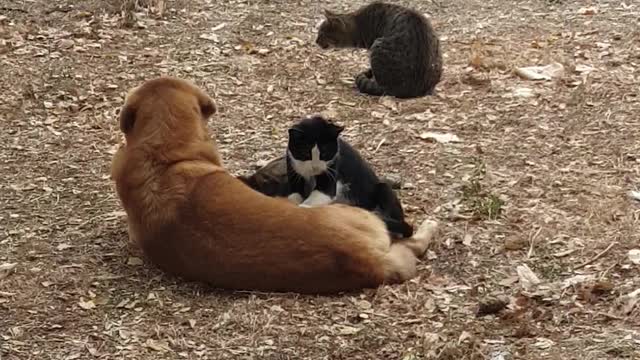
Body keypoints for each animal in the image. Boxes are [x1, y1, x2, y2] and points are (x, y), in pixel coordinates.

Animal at [286, 116, 416, 239]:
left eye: (325, 153)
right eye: (305, 153)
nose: (315, 167)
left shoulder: (332, 171)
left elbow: (316, 197)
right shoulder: (293, 168)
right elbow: (294, 195)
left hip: (383, 189)